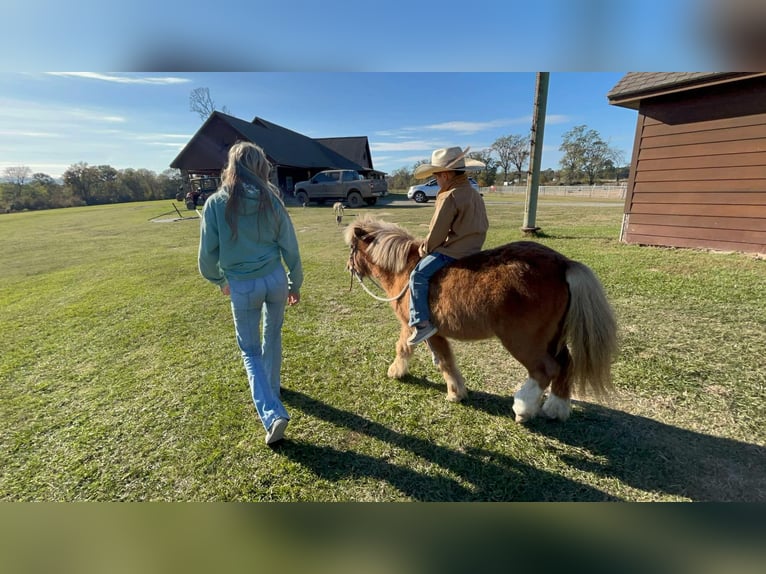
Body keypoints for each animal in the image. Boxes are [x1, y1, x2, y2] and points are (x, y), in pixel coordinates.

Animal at [344, 216, 620, 424]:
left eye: (352, 248)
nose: (349, 268)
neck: (406, 269)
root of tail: (562, 264)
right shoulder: (419, 329)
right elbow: (413, 349)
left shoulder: (424, 329)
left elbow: (437, 359)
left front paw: (453, 393)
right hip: (553, 337)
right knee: (566, 363)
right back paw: (556, 408)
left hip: (523, 342)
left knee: (545, 370)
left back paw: (523, 409)